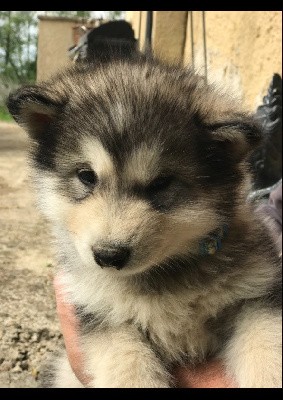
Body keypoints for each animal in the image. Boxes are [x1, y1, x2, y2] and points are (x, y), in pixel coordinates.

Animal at [6, 55, 282, 388]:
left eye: (162, 183)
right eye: (86, 176)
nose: (108, 256)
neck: (165, 275)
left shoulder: (257, 296)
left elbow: (265, 343)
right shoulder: (102, 315)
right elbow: (127, 365)